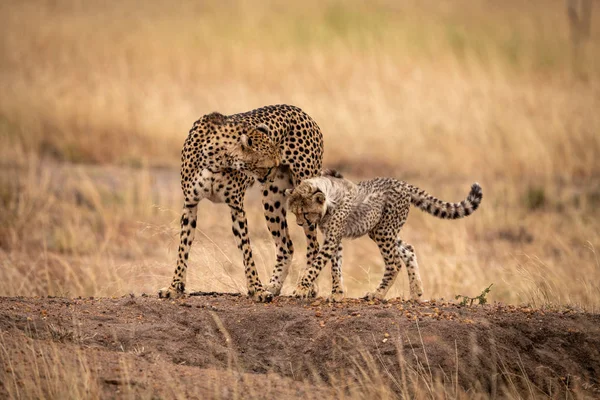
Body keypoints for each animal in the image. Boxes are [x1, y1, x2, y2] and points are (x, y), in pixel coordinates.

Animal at [157, 104, 322, 302]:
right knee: (286, 246)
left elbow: (247, 250)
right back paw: (274, 285)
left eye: (276, 163)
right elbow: (183, 247)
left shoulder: (237, 208)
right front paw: (174, 287)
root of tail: (299, 110)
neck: (217, 159)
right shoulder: (190, 204)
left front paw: (257, 289)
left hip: (304, 195)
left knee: (314, 245)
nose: (273, 176)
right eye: (269, 167)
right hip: (271, 201)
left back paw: (307, 287)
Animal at [286, 170, 482, 302]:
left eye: (305, 213)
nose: (300, 224)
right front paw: (337, 294)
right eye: (294, 213)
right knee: (408, 250)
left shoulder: (333, 238)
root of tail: (402, 183)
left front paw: (301, 289)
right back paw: (416, 293)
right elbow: (336, 267)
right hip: (383, 230)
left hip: (383, 231)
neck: (329, 198)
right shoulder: (334, 238)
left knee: (394, 263)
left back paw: (377, 294)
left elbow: (316, 266)